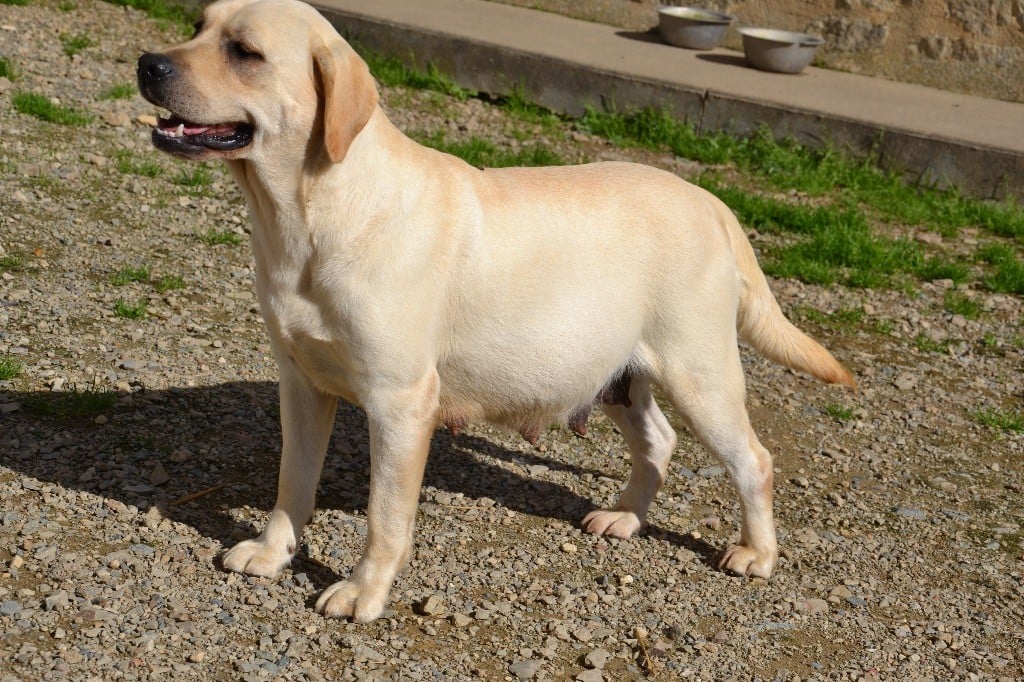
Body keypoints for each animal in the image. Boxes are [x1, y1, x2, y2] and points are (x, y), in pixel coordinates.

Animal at [137, 0, 855, 623]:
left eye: (245, 51)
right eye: (197, 26)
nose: (148, 62)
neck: (310, 215)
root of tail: (712, 201)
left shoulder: (400, 402)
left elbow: (384, 515)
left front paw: (364, 591)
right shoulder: (302, 382)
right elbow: (293, 478)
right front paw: (272, 552)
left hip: (700, 373)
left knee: (754, 460)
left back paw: (756, 552)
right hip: (618, 374)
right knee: (660, 441)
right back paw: (626, 517)